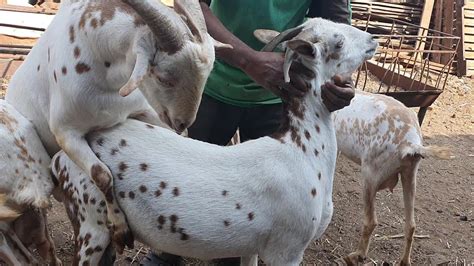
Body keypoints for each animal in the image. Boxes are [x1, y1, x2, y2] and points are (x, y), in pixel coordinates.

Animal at [4, 0, 226, 251]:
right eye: (163, 77)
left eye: (207, 75)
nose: (182, 121)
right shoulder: (65, 132)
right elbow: (101, 174)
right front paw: (121, 230)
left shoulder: (139, 110)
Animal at [51, 17, 378, 264]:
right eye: (338, 43)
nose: (372, 38)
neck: (305, 149)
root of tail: (61, 158)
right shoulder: (286, 249)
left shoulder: (255, 249)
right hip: (90, 223)